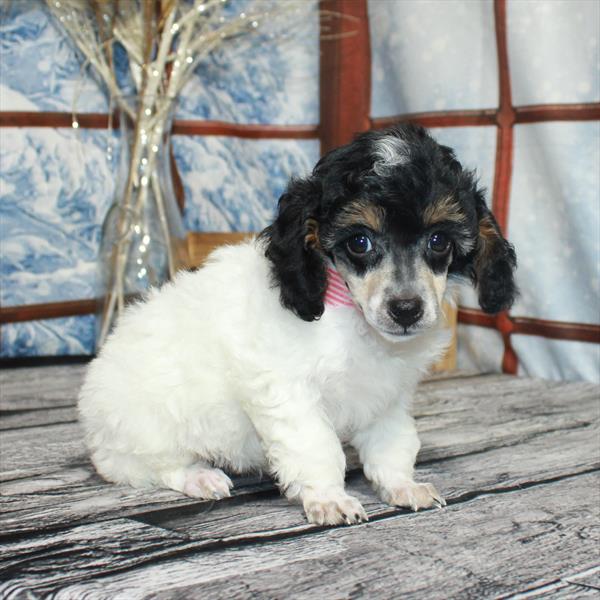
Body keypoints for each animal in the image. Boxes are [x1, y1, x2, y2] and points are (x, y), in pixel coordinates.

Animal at [78, 123, 516, 524]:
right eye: (359, 242)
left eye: (439, 241)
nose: (405, 308)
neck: (347, 314)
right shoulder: (288, 390)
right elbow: (317, 445)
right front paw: (329, 498)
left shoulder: (387, 398)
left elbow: (392, 443)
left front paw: (402, 485)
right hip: (147, 427)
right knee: (146, 466)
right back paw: (199, 477)